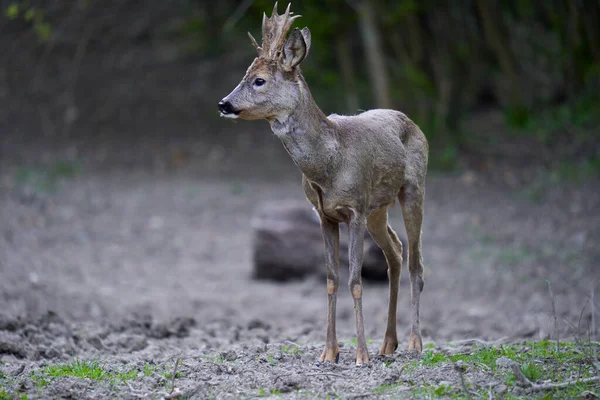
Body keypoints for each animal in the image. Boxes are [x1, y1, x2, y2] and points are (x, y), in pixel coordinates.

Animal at [218, 3, 428, 366]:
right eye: (244, 75)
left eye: (259, 80)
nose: (224, 104)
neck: (329, 162)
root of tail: (411, 121)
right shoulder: (325, 214)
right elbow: (331, 279)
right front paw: (329, 352)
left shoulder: (355, 209)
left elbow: (355, 280)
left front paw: (360, 354)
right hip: (378, 209)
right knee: (396, 253)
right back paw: (389, 343)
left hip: (414, 188)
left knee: (416, 262)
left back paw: (414, 345)